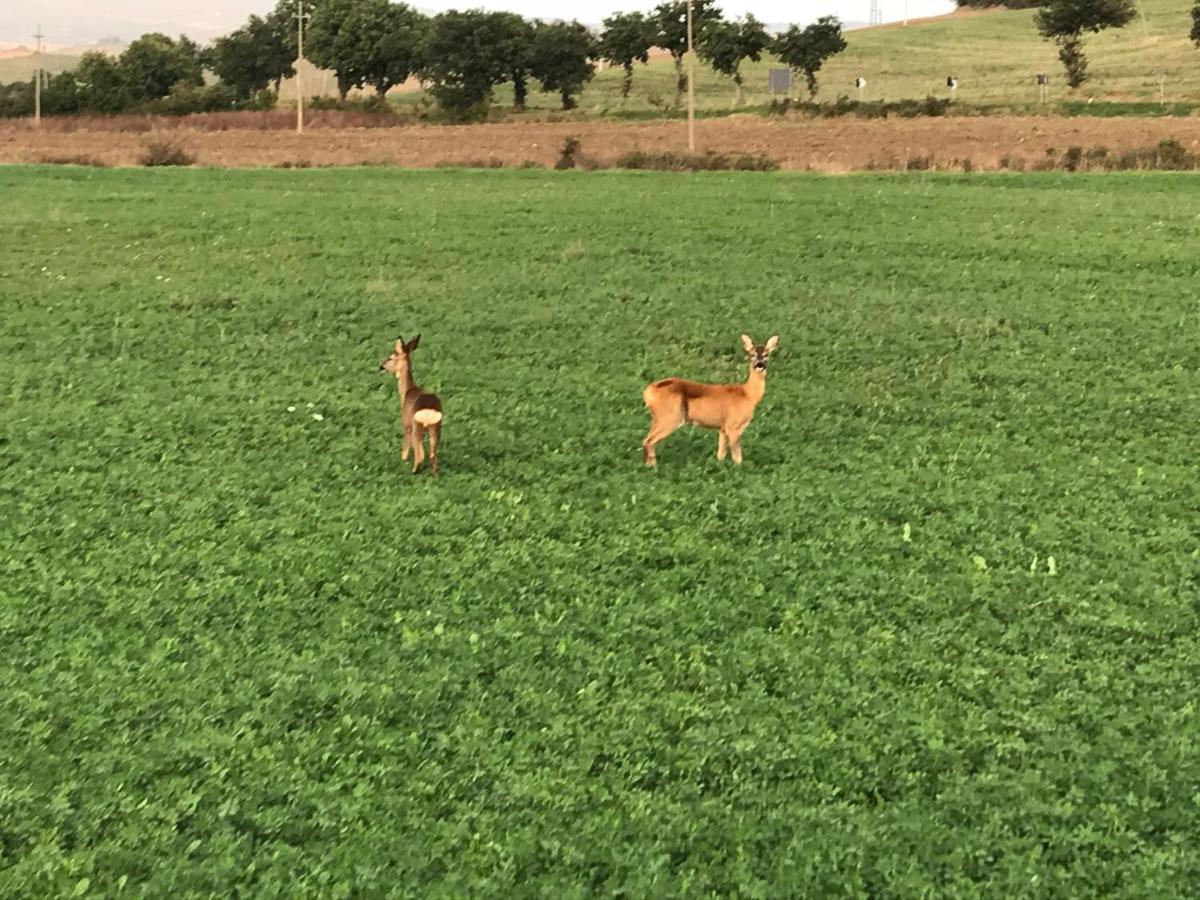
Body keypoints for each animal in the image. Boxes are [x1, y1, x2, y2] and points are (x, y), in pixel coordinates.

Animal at [379, 336, 446, 480]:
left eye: (391, 357)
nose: (381, 366)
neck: (407, 391)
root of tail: (429, 412)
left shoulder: (406, 423)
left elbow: (405, 447)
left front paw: (403, 459)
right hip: (436, 427)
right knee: (433, 454)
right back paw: (436, 476)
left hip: (417, 426)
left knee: (420, 454)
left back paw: (413, 471)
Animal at [648, 336, 777, 468]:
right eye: (752, 354)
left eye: (766, 354)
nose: (760, 365)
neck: (748, 395)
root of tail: (649, 391)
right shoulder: (733, 425)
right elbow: (737, 456)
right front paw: (738, 468)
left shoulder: (723, 428)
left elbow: (721, 453)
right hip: (671, 417)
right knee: (649, 441)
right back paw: (652, 466)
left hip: (658, 418)